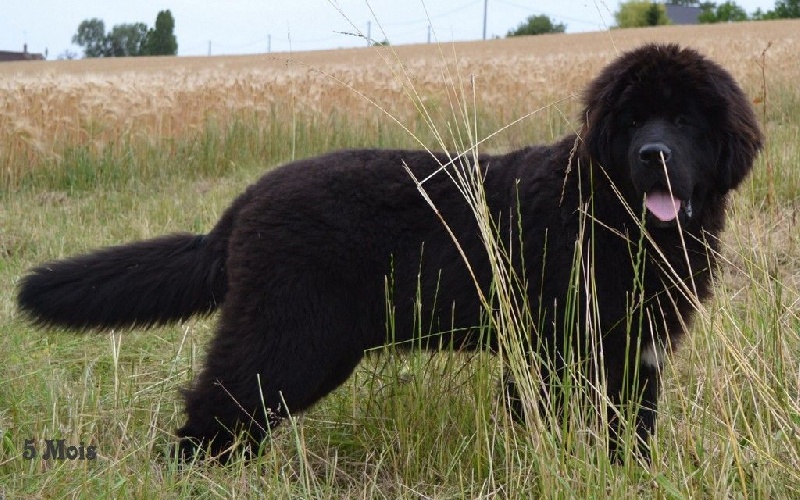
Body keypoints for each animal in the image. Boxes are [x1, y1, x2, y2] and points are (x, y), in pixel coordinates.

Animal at [15, 45, 760, 462]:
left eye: (684, 119)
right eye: (631, 121)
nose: (653, 155)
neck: (614, 218)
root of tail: (247, 201)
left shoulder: (636, 354)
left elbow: (628, 435)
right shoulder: (554, 349)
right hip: (291, 335)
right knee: (217, 405)